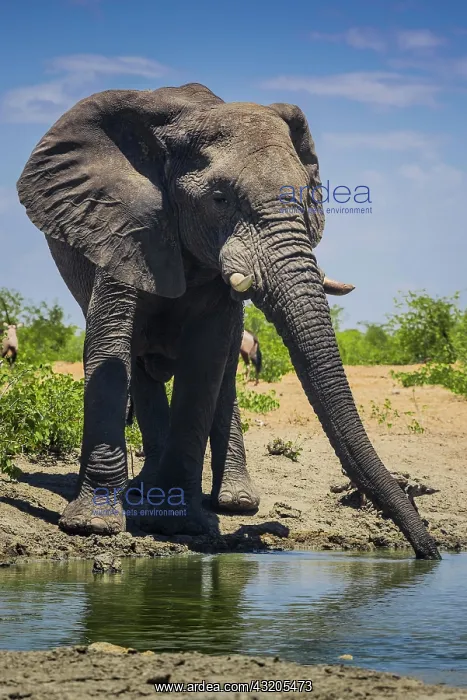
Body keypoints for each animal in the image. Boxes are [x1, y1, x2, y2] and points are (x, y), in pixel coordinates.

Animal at [16, 82, 440, 560]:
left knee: (224, 375)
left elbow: (207, 361)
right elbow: (109, 349)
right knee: (141, 365)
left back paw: (233, 502)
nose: (429, 552)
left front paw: (177, 524)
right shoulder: (121, 225)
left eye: (309, 199)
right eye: (219, 200)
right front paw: (94, 526)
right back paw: (145, 492)